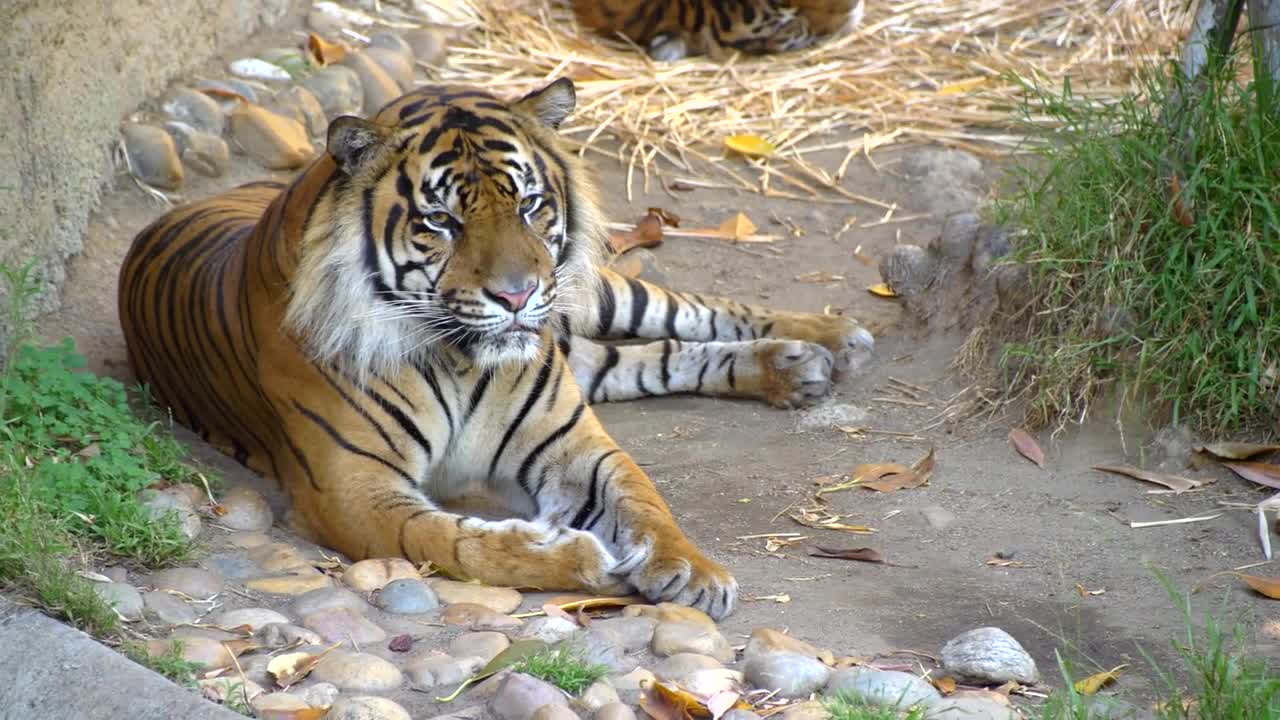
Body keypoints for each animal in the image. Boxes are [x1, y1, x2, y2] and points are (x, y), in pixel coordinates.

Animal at [120, 77, 875, 617]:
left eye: (531, 205)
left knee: (690, 311)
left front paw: (693, 569)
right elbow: (455, 543)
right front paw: (584, 561)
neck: (458, 359)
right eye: (441, 221)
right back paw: (797, 365)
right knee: (639, 358)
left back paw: (826, 340)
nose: (517, 297)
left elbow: (645, 499)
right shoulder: (351, 489)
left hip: (593, 294)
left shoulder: (572, 443)